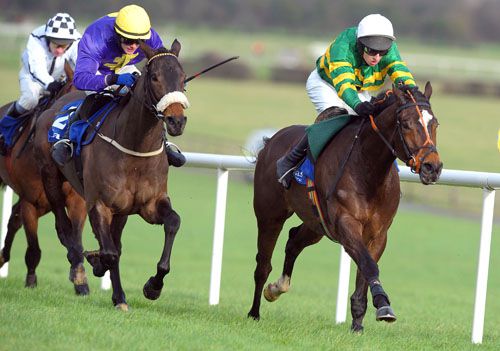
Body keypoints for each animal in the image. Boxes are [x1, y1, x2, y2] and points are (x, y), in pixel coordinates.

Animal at [0, 62, 89, 292]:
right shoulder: (32, 202)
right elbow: (34, 249)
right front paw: (31, 281)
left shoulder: (76, 200)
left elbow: (75, 238)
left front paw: (80, 280)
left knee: (13, 218)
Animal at [33, 40, 189, 310]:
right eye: (155, 77)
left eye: (182, 79)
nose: (176, 120)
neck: (136, 149)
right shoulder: (99, 203)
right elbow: (110, 252)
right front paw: (97, 263)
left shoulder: (150, 204)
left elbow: (173, 222)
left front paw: (153, 286)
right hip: (51, 176)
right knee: (64, 227)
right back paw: (83, 269)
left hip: (122, 211)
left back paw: (118, 295)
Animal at [248, 82, 444, 332]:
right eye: (407, 123)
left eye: (434, 123)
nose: (432, 167)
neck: (368, 169)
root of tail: (271, 140)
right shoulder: (346, 223)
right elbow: (369, 266)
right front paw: (383, 304)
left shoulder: (377, 233)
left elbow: (365, 270)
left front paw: (358, 324)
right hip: (269, 215)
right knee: (263, 264)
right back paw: (254, 312)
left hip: (317, 224)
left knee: (293, 241)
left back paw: (277, 288)